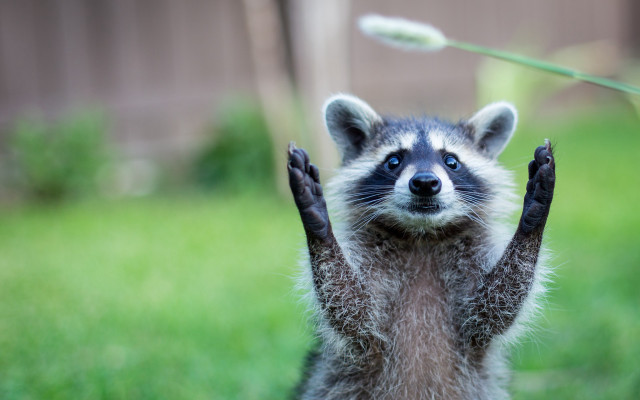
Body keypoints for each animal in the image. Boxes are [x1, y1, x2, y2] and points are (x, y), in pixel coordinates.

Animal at [287, 94, 555, 400]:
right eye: (393, 161)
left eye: (451, 161)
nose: (425, 182)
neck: (422, 236)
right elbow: (351, 307)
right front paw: (318, 224)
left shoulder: (473, 266)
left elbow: (496, 304)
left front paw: (532, 219)